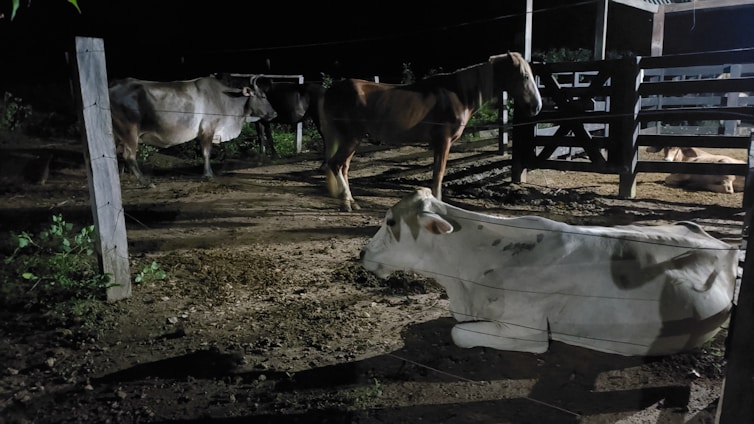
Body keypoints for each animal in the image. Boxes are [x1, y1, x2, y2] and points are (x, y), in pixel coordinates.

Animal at [109, 75, 277, 187]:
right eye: (262, 96)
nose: (274, 113)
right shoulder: (208, 129)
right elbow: (206, 152)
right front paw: (208, 174)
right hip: (129, 131)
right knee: (129, 155)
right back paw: (146, 182)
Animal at [319, 52, 542, 211]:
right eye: (524, 76)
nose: (537, 107)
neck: (458, 94)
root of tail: (333, 90)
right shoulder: (444, 141)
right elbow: (439, 174)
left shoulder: (438, 144)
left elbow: (437, 173)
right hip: (351, 138)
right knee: (336, 164)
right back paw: (346, 203)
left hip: (351, 139)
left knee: (343, 166)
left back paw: (351, 202)